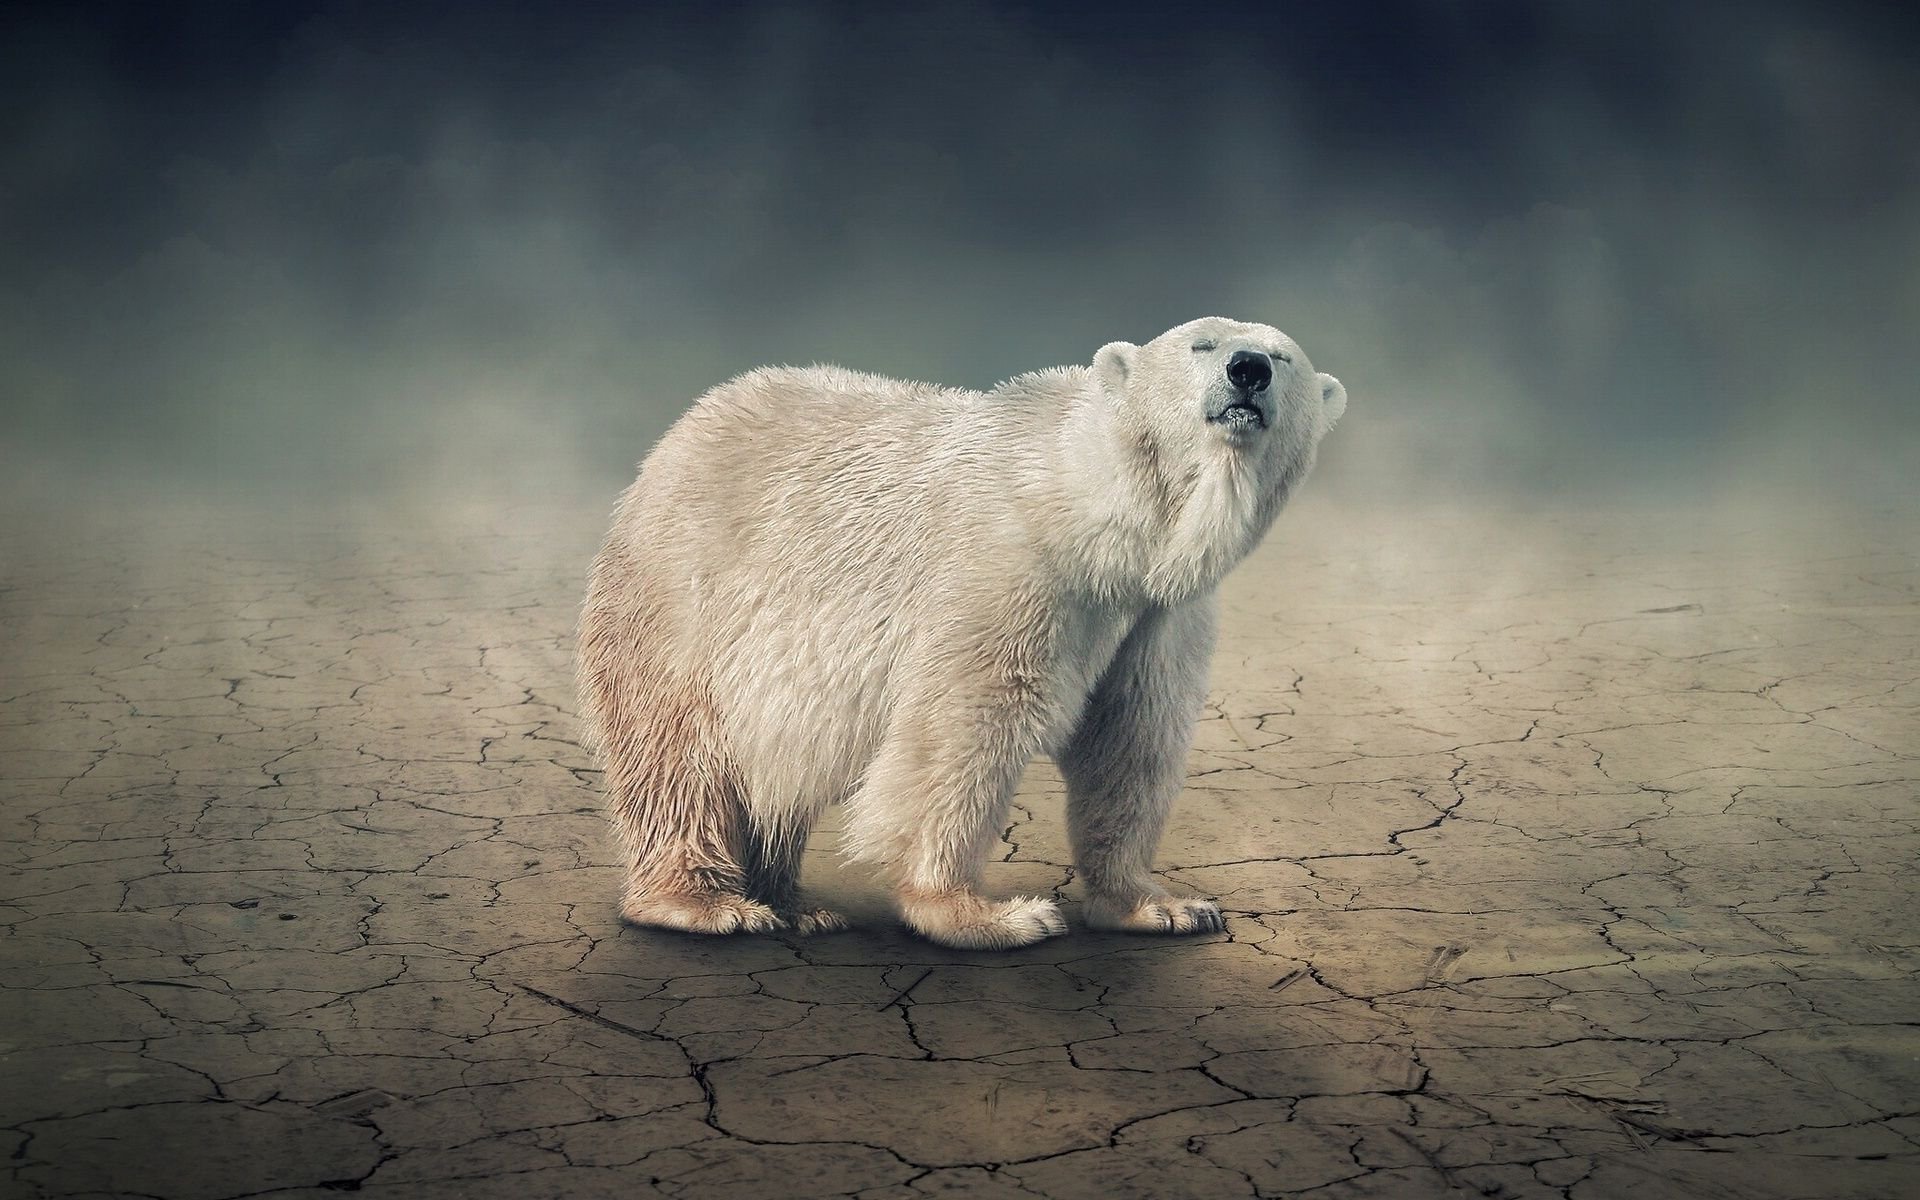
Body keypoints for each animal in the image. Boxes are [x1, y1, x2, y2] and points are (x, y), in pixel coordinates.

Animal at [577, 317, 1346, 949]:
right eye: (1202, 345)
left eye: (1283, 354)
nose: (1249, 368)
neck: (1098, 514)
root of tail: (674, 441)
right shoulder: (1009, 565)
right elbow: (966, 723)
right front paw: (989, 915)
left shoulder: (1160, 613)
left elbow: (1131, 736)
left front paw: (1162, 905)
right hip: (685, 600)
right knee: (682, 754)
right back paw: (707, 904)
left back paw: (797, 904)